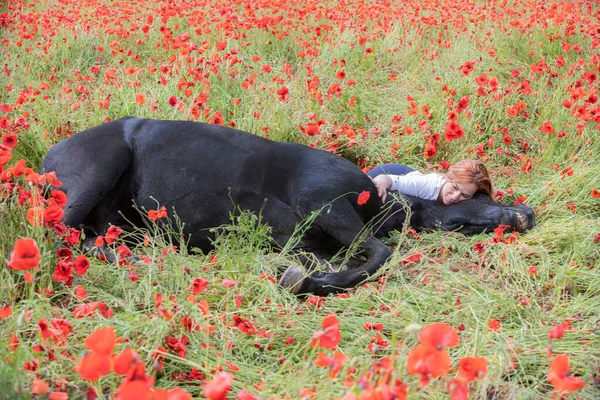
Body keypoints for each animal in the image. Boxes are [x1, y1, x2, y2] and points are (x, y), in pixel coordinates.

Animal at [42, 117, 536, 296]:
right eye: (480, 196)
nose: (526, 213)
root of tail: (49, 155)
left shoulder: (298, 238)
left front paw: (304, 278)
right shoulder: (325, 204)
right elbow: (380, 254)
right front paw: (308, 282)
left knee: (91, 238)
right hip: (96, 173)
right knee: (59, 235)